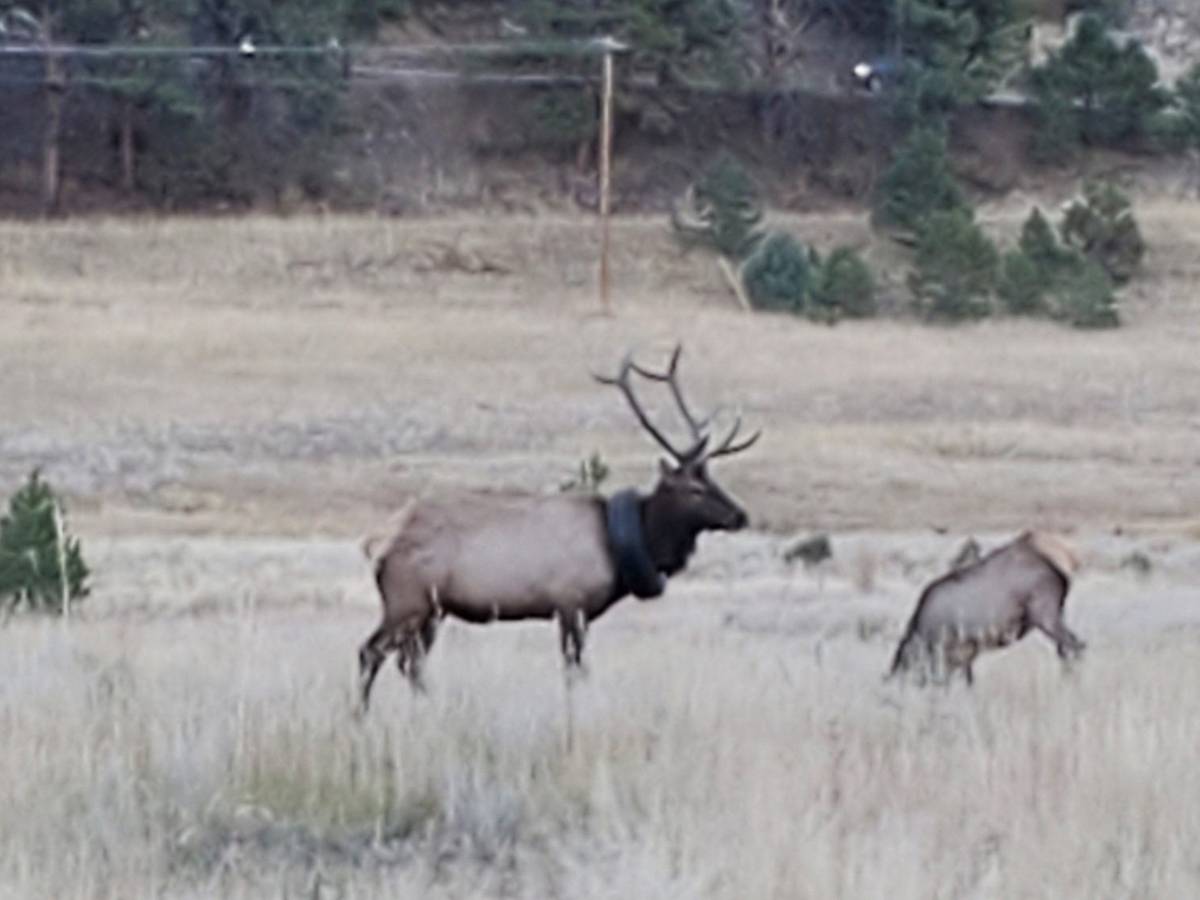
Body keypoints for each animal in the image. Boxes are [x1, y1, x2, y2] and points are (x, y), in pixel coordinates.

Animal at [356, 344, 760, 713]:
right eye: (694, 489)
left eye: (713, 479)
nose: (740, 515)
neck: (618, 550)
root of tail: (376, 543)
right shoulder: (571, 602)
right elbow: (575, 670)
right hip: (406, 600)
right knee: (370, 652)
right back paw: (360, 717)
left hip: (431, 610)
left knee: (410, 663)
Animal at [888, 531, 1086, 686]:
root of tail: (1060, 574)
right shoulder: (964, 656)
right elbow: (968, 682)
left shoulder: (953, 653)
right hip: (1056, 614)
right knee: (1067, 649)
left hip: (1045, 616)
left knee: (1076, 645)